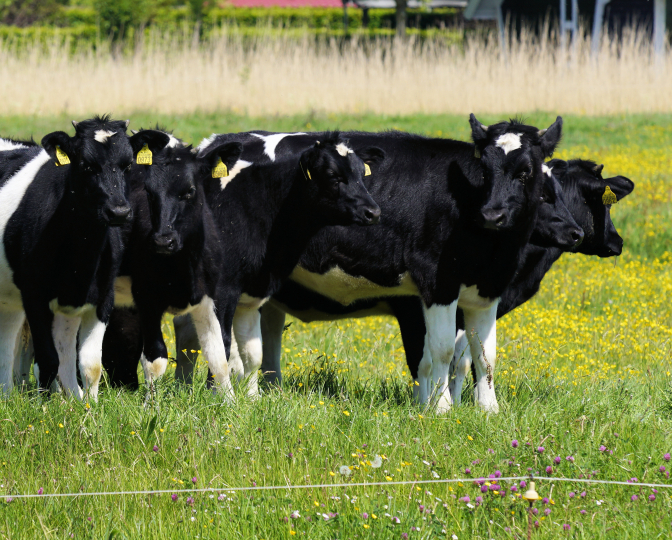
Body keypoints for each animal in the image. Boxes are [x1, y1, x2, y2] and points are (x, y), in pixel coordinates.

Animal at [0, 117, 166, 399]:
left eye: (128, 165)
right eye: (86, 165)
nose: (119, 212)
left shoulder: (102, 298)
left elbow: (90, 364)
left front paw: (87, 404)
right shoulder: (34, 296)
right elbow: (47, 360)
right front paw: (45, 403)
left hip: (13, 300)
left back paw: (9, 395)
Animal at [101, 131, 384, 396]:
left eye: (362, 174)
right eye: (333, 175)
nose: (373, 212)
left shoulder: (251, 293)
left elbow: (251, 353)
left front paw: (252, 398)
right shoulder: (222, 292)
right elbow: (223, 346)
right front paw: (218, 395)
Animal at [170, 116, 563, 412]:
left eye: (527, 171)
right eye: (484, 169)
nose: (492, 214)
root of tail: (216, 144)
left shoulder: (487, 290)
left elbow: (485, 355)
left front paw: (488, 410)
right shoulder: (436, 284)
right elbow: (441, 351)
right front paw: (440, 410)